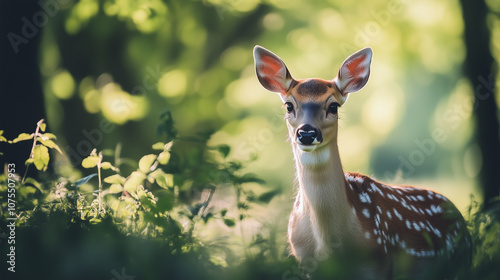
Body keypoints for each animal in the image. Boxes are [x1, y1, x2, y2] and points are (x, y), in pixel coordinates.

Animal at [254, 44, 472, 278]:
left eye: (333, 106)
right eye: (288, 106)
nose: (306, 133)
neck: (331, 242)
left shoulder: (378, 262)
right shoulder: (306, 263)